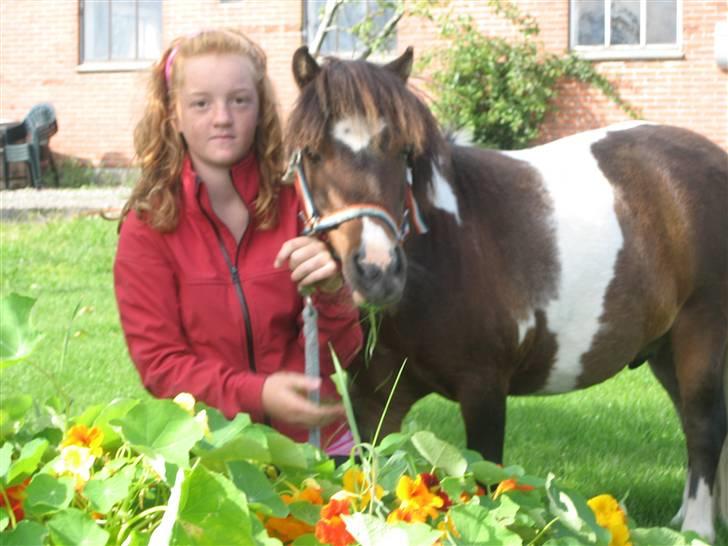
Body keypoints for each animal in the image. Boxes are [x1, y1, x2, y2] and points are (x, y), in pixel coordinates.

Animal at [284, 46, 728, 540]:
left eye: (403, 152)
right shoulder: (372, 400)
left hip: (701, 330)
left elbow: (486, 486)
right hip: (664, 348)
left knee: (703, 424)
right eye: (313, 153)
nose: (378, 271)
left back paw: (698, 530)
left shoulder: (484, 391)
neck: (446, 248)